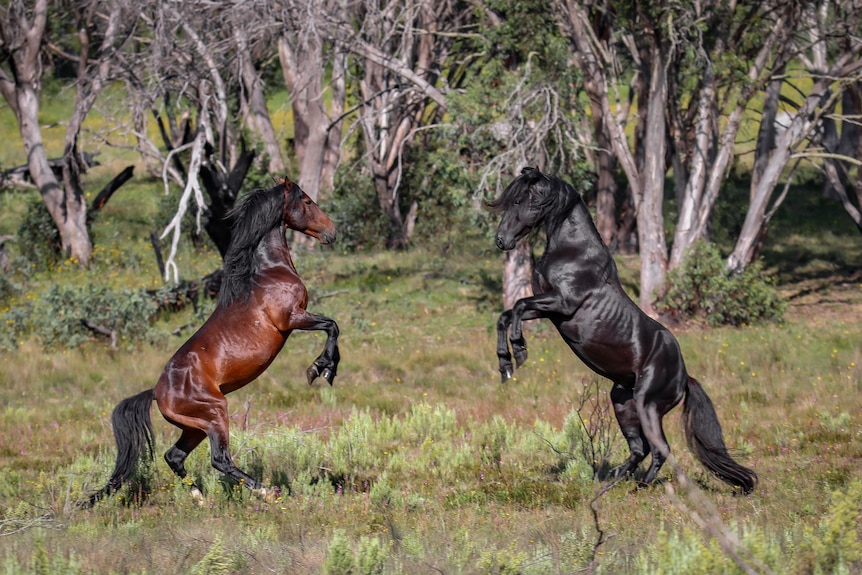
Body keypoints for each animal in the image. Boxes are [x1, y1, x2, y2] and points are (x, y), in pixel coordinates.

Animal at [88, 178, 340, 506]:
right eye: (307, 201)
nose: (332, 231)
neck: (267, 273)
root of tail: (156, 392)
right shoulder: (292, 318)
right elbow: (332, 326)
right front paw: (322, 369)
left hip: (195, 427)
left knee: (174, 456)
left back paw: (199, 497)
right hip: (216, 414)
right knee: (220, 459)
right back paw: (264, 492)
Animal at [490, 166, 760, 496]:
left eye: (519, 201)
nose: (501, 240)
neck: (572, 250)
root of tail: (685, 377)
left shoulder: (561, 304)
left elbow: (515, 308)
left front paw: (519, 350)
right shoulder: (547, 308)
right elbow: (506, 315)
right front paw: (505, 365)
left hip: (648, 405)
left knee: (659, 449)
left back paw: (640, 487)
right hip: (622, 402)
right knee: (638, 449)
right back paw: (613, 481)